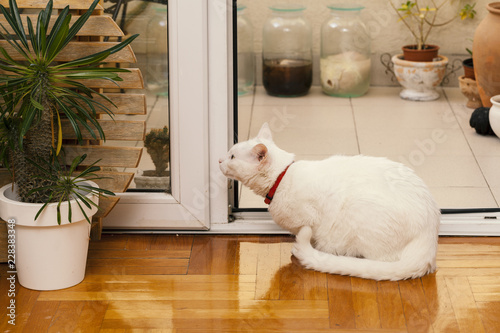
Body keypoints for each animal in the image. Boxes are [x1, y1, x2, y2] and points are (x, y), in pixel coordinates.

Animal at [221, 123, 440, 278]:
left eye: (232, 156)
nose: (219, 160)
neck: (282, 178)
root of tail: (429, 240)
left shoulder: (309, 220)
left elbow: (307, 234)